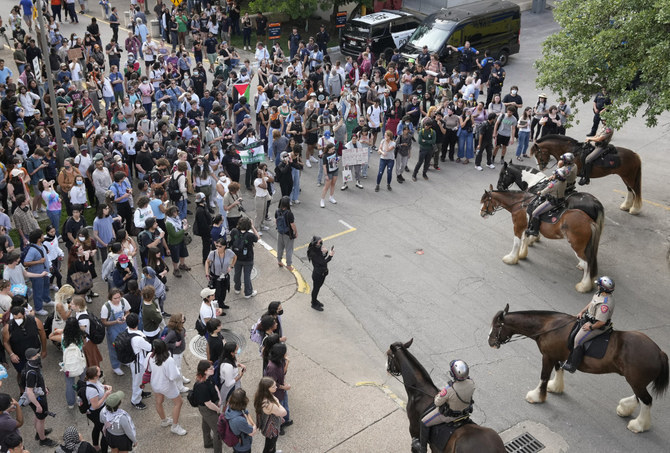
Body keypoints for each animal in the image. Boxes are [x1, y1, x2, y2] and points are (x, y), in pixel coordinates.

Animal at [488, 304, 669, 433]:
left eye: (496, 326)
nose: (490, 342)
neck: (549, 326)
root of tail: (659, 352)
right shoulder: (555, 355)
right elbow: (559, 369)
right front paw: (556, 387)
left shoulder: (547, 356)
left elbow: (544, 376)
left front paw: (536, 396)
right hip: (636, 381)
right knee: (639, 397)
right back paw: (625, 408)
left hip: (635, 380)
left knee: (646, 400)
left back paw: (638, 425)